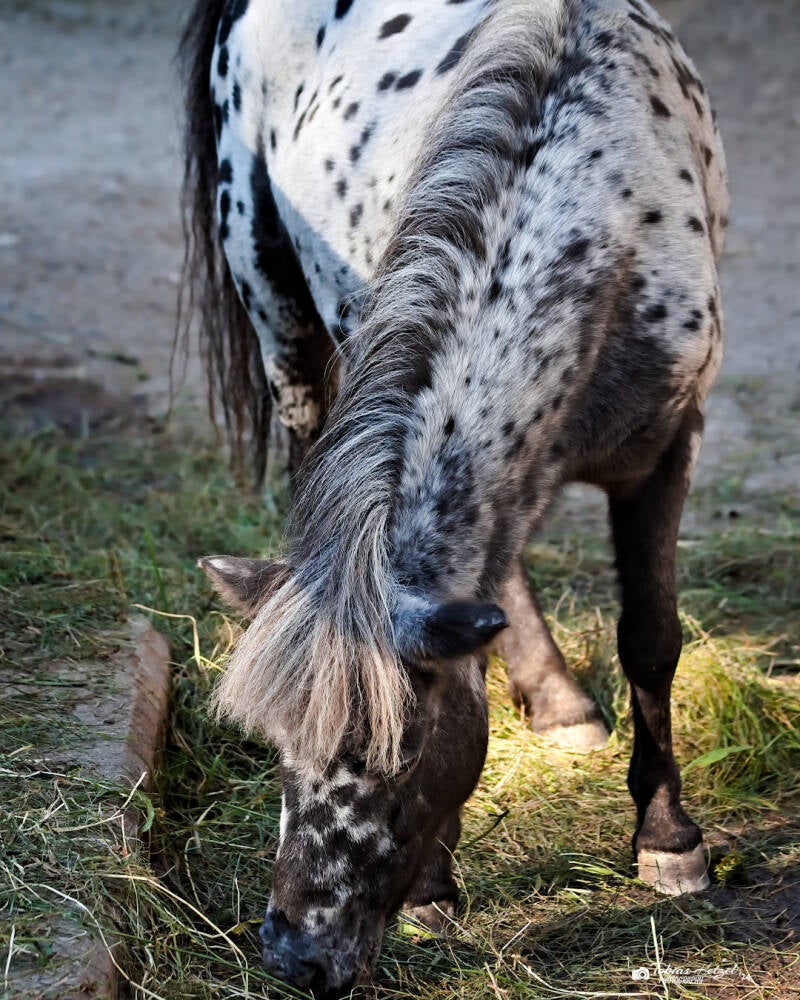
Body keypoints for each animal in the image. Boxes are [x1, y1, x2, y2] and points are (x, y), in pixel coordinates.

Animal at [179, 0, 728, 994]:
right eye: (275, 750)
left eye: (399, 753)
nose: (293, 954)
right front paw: (437, 889)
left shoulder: (668, 446)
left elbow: (651, 638)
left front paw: (670, 844)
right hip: (279, 317)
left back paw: (564, 707)